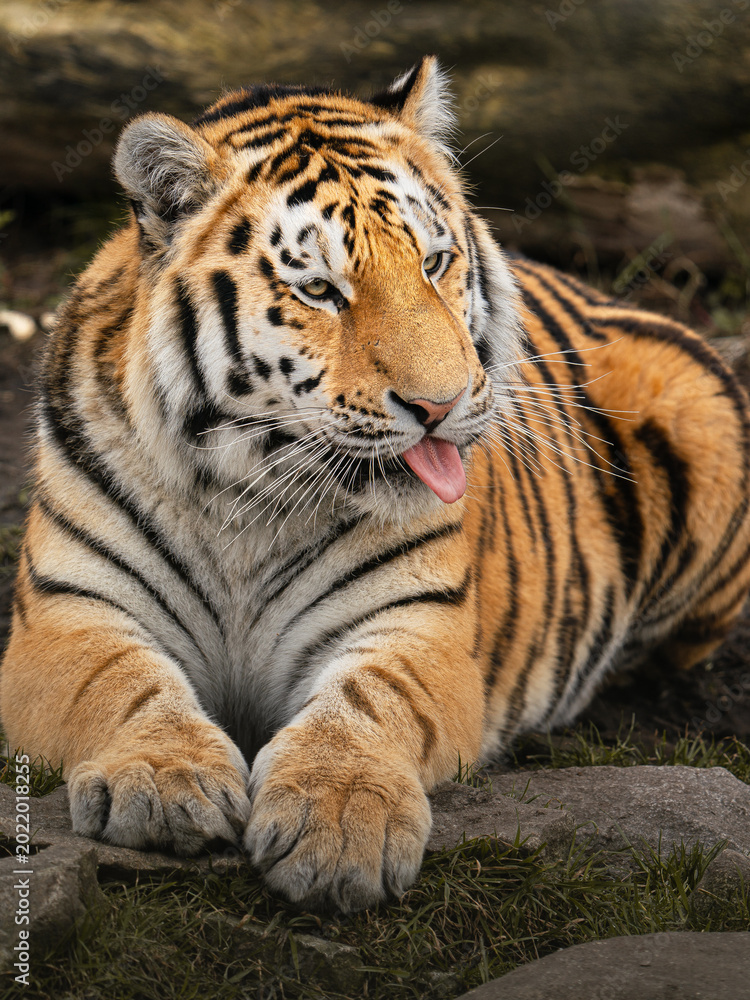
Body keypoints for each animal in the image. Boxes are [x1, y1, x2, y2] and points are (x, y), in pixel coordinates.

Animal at [2, 56, 749, 914]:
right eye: (321, 290)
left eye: (433, 262)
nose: (441, 405)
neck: (248, 499)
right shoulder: (65, 614)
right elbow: (117, 681)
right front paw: (162, 781)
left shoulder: (417, 627)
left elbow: (366, 703)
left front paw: (338, 822)